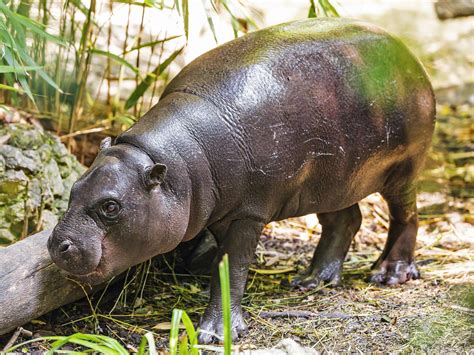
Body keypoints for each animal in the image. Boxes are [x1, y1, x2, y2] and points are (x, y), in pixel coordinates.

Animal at [48, 17, 434, 344]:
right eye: (75, 187)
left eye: (111, 206)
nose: (57, 244)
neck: (178, 161)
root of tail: (408, 53)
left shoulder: (248, 213)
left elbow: (232, 268)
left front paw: (213, 334)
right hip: (329, 181)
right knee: (346, 219)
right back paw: (310, 280)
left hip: (402, 170)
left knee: (406, 216)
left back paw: (389, 273)